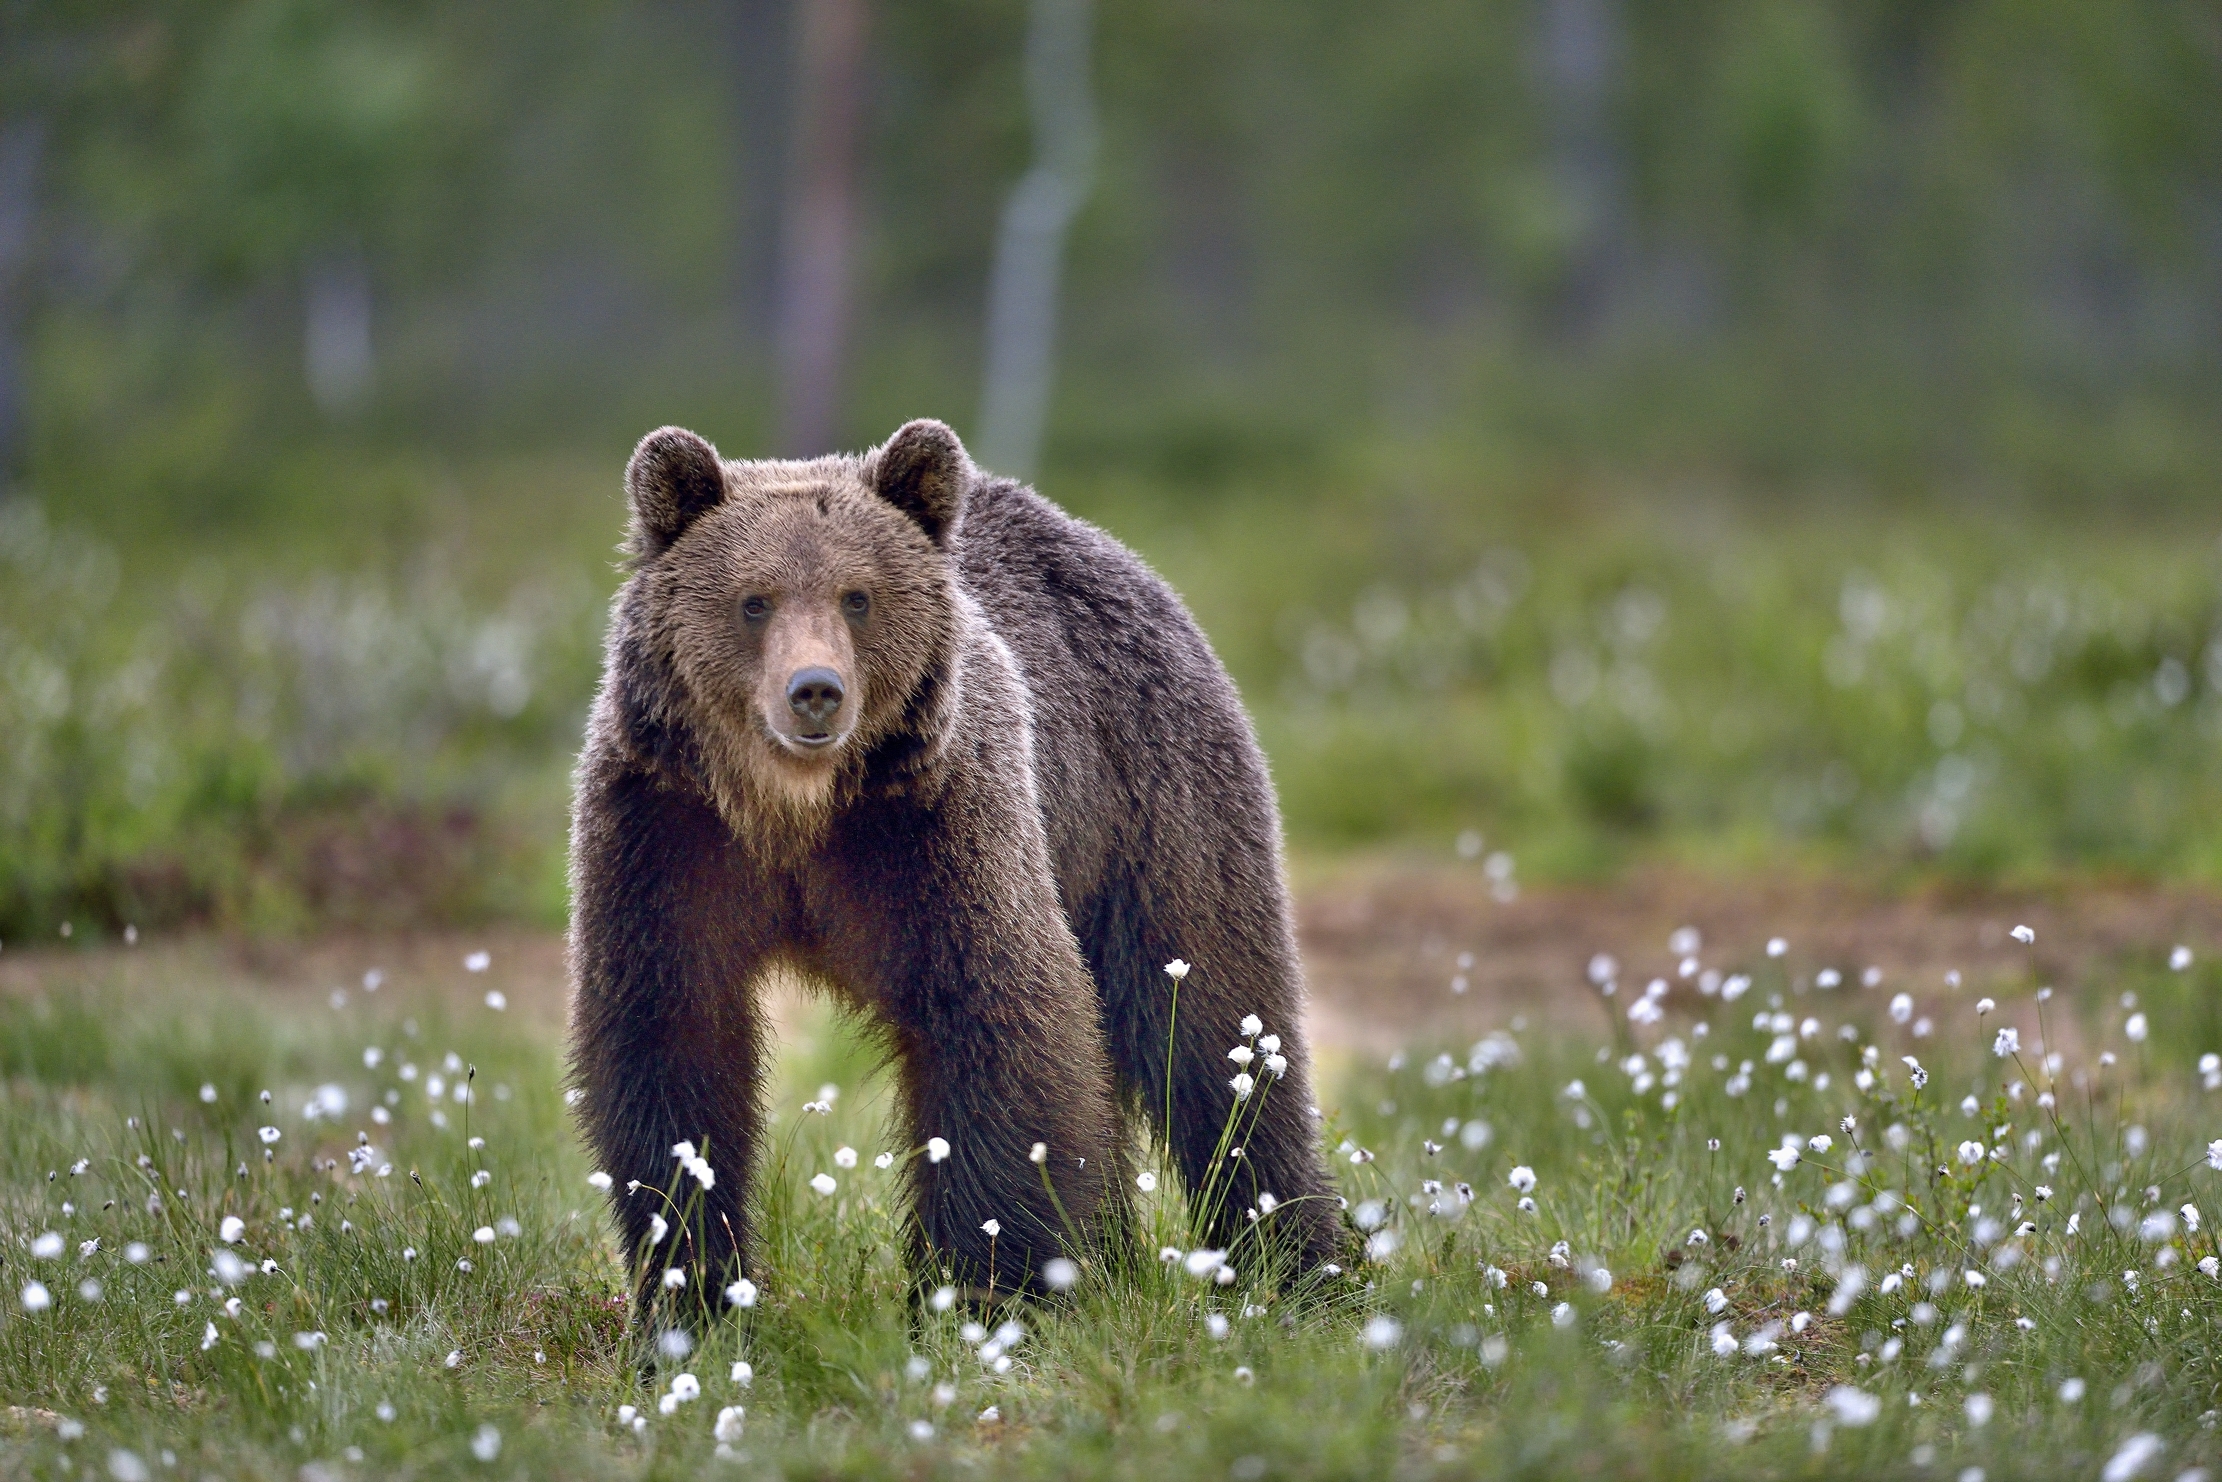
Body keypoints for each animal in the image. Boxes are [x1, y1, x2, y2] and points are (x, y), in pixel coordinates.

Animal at [568, 417, 1341, 1326]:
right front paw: (692, 1291)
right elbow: (669, 1035)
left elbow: (996, 1016)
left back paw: (1298, 1260)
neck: (794, 814)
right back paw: (1119, 1256)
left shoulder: (938, 825)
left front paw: (981, 1290)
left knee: (1218, 1029)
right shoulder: (665, 830)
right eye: (754, 600)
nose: (815, 691)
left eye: (857, 596)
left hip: (1156, 800)